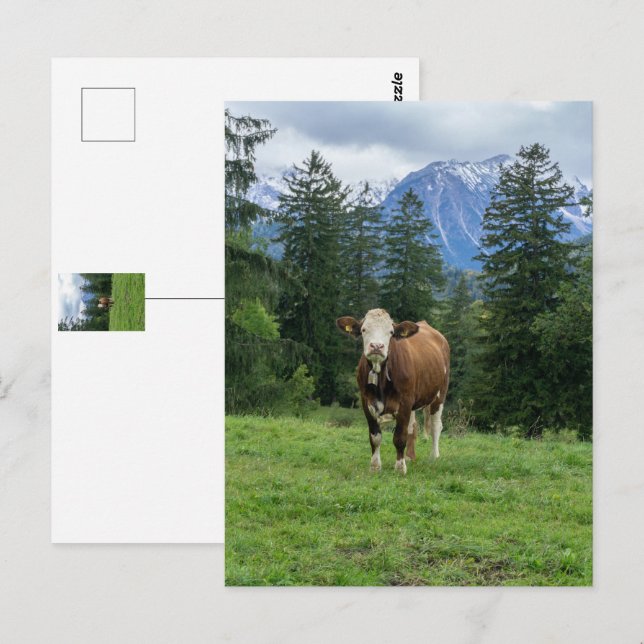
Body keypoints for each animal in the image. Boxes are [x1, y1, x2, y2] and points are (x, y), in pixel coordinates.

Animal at [336, 308, 450, 474]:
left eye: (390, 332)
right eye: (364, 330)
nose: (377, 346)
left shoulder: (404, 403)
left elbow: (399, 437)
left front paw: (400, 467)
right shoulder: (366, 402)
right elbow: (375, 437)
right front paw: (375, 466)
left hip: (440, 393)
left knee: (436, 425)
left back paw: (434, 457)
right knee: (413, 427)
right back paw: (410, 456)